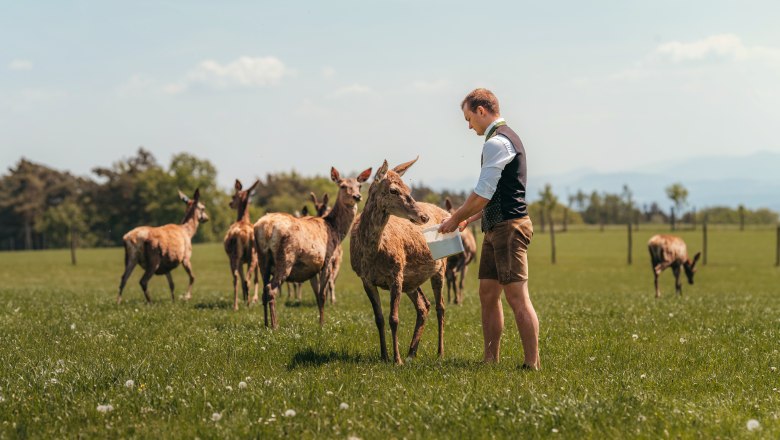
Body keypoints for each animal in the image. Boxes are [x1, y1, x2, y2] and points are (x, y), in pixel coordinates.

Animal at [224, 178, 260, 310]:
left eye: (233, 196)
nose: (230, 203)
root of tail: (243, 234)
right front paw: (251, 299)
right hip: (248, 256)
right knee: (245, 280)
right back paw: (244, 304)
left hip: (236, 256)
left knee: (238, 279)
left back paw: (238, 305)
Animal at [251, 167, 370, 328]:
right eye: (343, 186)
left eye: (359, 185)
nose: (357, 196)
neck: (335, 228)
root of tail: (266, 227)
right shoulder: (327, 260)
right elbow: (322, 294)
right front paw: (322, 325)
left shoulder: (312, 267)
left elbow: (317, 294)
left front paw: (320, 322)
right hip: (286, 257)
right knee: (271, 289)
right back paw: (275, 325)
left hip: (262, 258)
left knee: (264, 289)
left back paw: (265, 324)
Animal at [350, 158, 448, 364]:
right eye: (393, 190)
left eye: (409, 189)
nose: (424, 216)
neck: (371, 254)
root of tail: (445, 211)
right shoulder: (365, 279)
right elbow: (379, 318)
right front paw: (384, 356)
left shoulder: (396, 273)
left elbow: (394, 318)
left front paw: (397, 360)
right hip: (411, 281)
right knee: (424, 305)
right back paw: (412, 352)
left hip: (441, 266)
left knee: (440, 307)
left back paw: (439, 352)